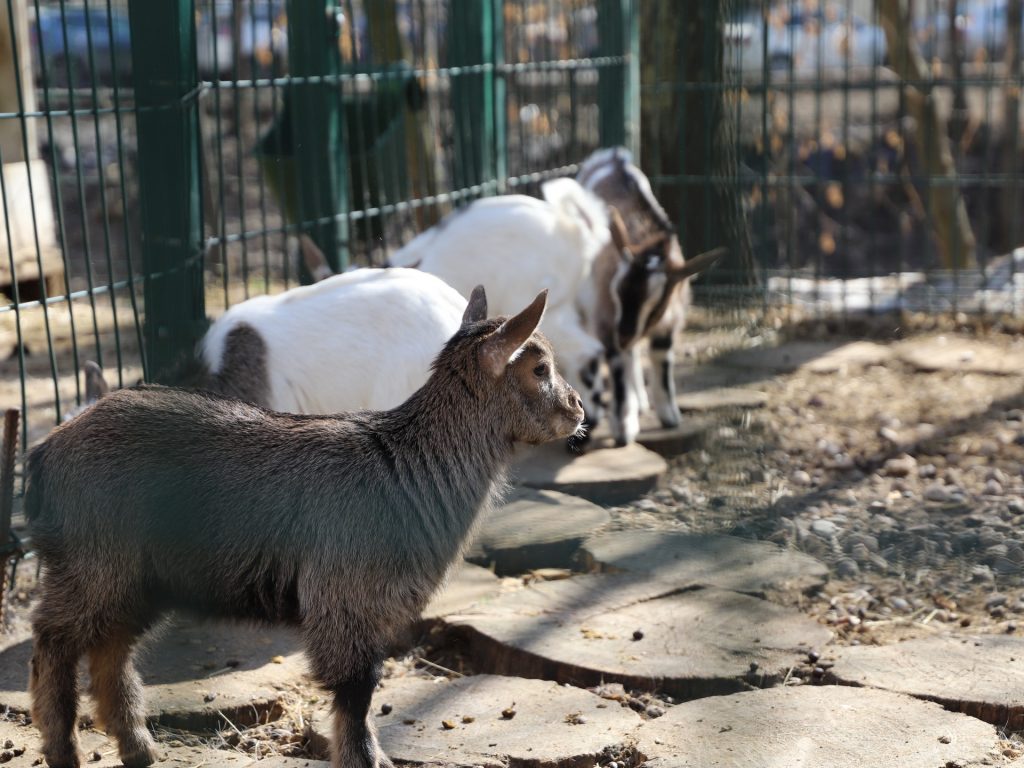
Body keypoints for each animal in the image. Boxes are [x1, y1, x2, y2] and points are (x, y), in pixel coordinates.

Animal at [25, 288, 585, 768]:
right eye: (540, 368)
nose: (577, 408)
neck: (408, 466)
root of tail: (45, 453)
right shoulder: (345, 602)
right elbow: (356, 693)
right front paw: (365, 760)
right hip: (94, 563)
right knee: (53, 638)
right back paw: (63, 749)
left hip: (137, 579)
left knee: (111, 648)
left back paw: (138, 747)